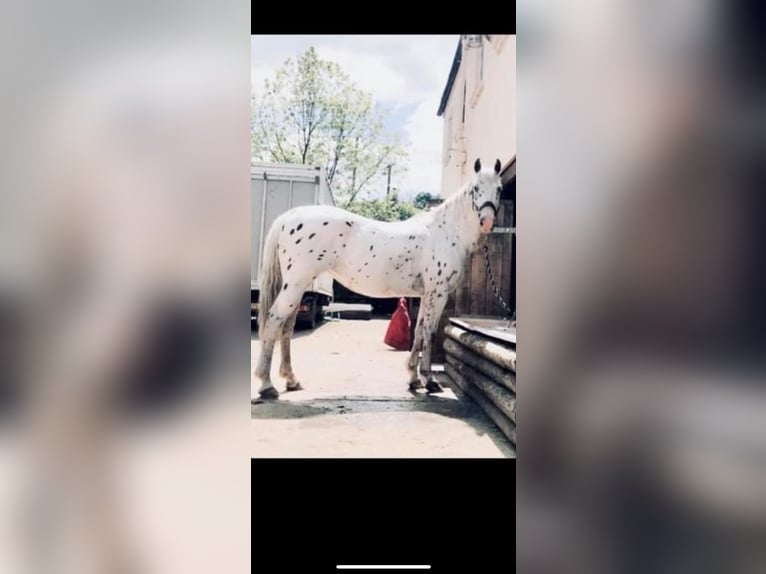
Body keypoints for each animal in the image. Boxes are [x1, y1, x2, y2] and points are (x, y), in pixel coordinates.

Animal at [254, 158, 504, 400]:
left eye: (499, 189)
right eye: (475, 188)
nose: (487, 221)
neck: (445, 232)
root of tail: (288, 217)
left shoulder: (426, 295)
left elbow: (418, 331)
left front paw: (413, 379)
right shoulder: (438, 293)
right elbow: (430, 332)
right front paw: (430, 381)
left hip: (299, 286)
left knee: (287, 325)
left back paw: (291, 380)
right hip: (296, 284)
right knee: (274, 320)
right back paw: (266, 385)